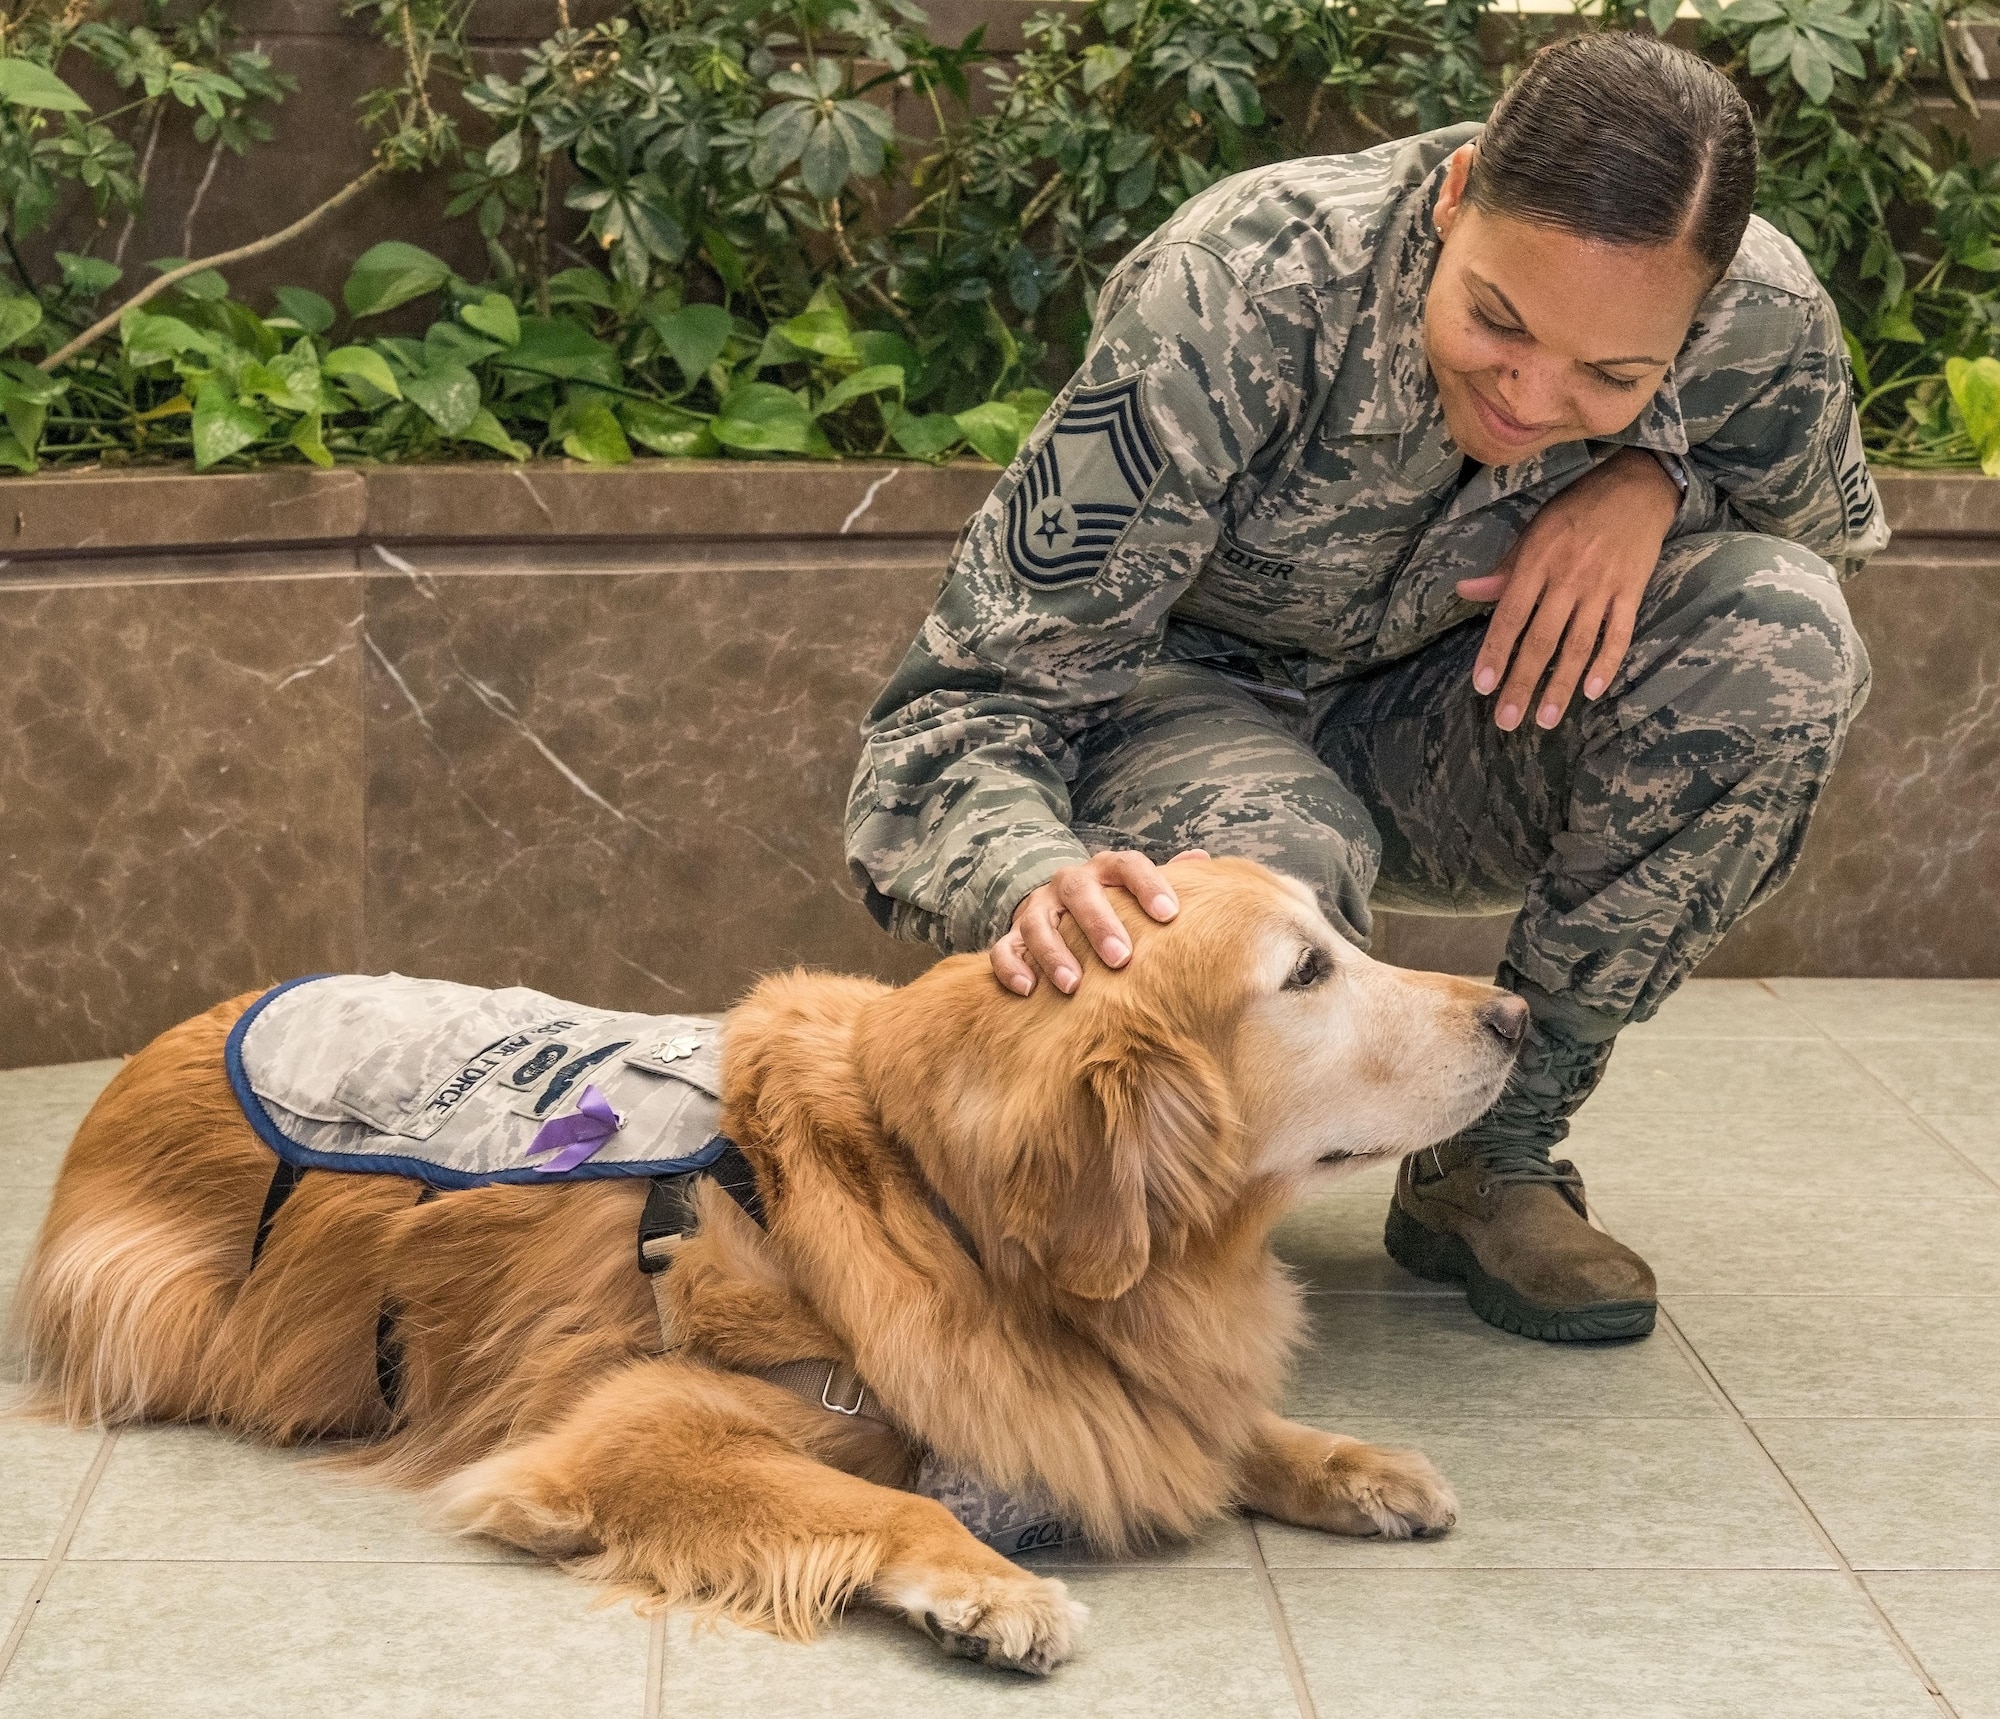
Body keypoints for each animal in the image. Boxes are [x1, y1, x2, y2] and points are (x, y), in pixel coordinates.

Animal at [11, 867, 1512, 1671]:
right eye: (1306, 972)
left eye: (1340, 933)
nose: (1513, 1009)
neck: (936, 1206)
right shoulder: (626, 1431)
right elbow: (892, 1504)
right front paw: (991, 1588)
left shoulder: (1104, 1390)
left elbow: (1214, 1423)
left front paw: (1349, 1462)